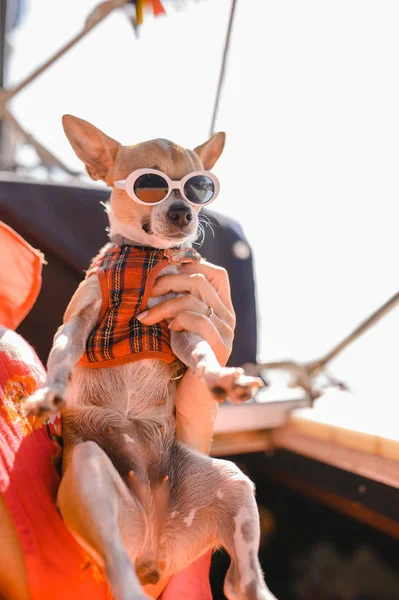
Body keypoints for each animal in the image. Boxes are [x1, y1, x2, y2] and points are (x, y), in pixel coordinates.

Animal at [24, 116, 276, 600]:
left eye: (199, 187)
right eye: (151, 184)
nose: (182, 213)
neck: (143, 258)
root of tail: (155, 545)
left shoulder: (180, 324)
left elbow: (202, 354)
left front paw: (224, 377)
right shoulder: (78, 322)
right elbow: (62, 356)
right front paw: (50, 393)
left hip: (232, 483)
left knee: (240, 580)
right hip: (90, 470)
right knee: (118, 566)